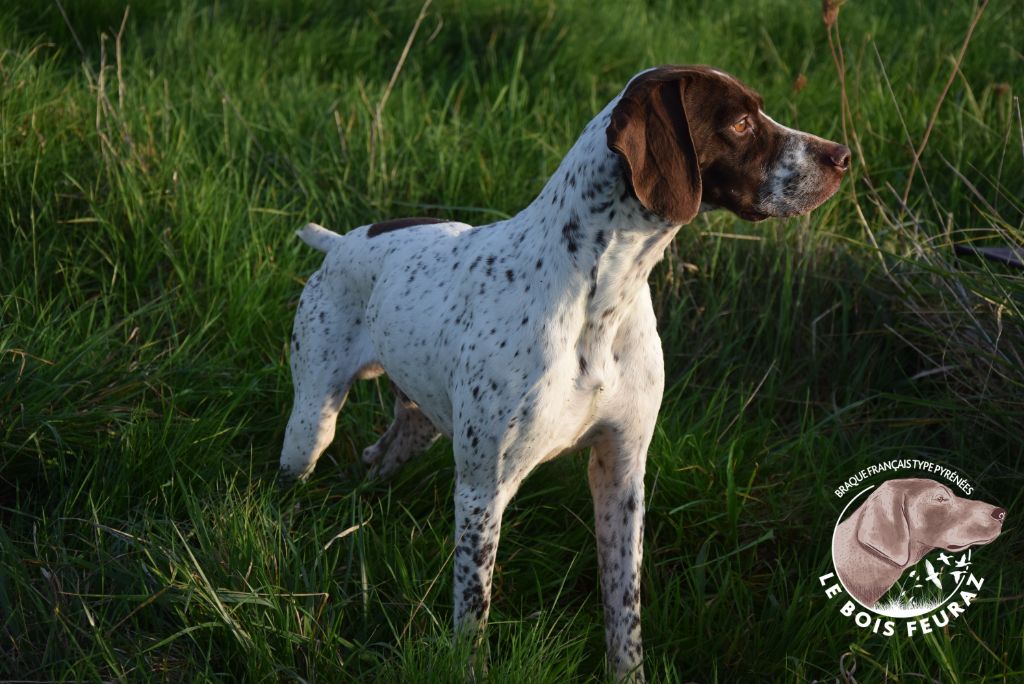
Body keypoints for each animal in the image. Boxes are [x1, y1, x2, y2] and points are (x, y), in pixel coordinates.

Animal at [280, 65, 847, 684]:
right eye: (741, 123)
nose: (842, 155)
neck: (603, 299)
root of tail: (343, 241)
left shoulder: (622, 474)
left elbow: (624, 612)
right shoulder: (483, 491)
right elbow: (472, 613)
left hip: (419, 423)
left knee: (376, 458)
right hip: (311, 424)